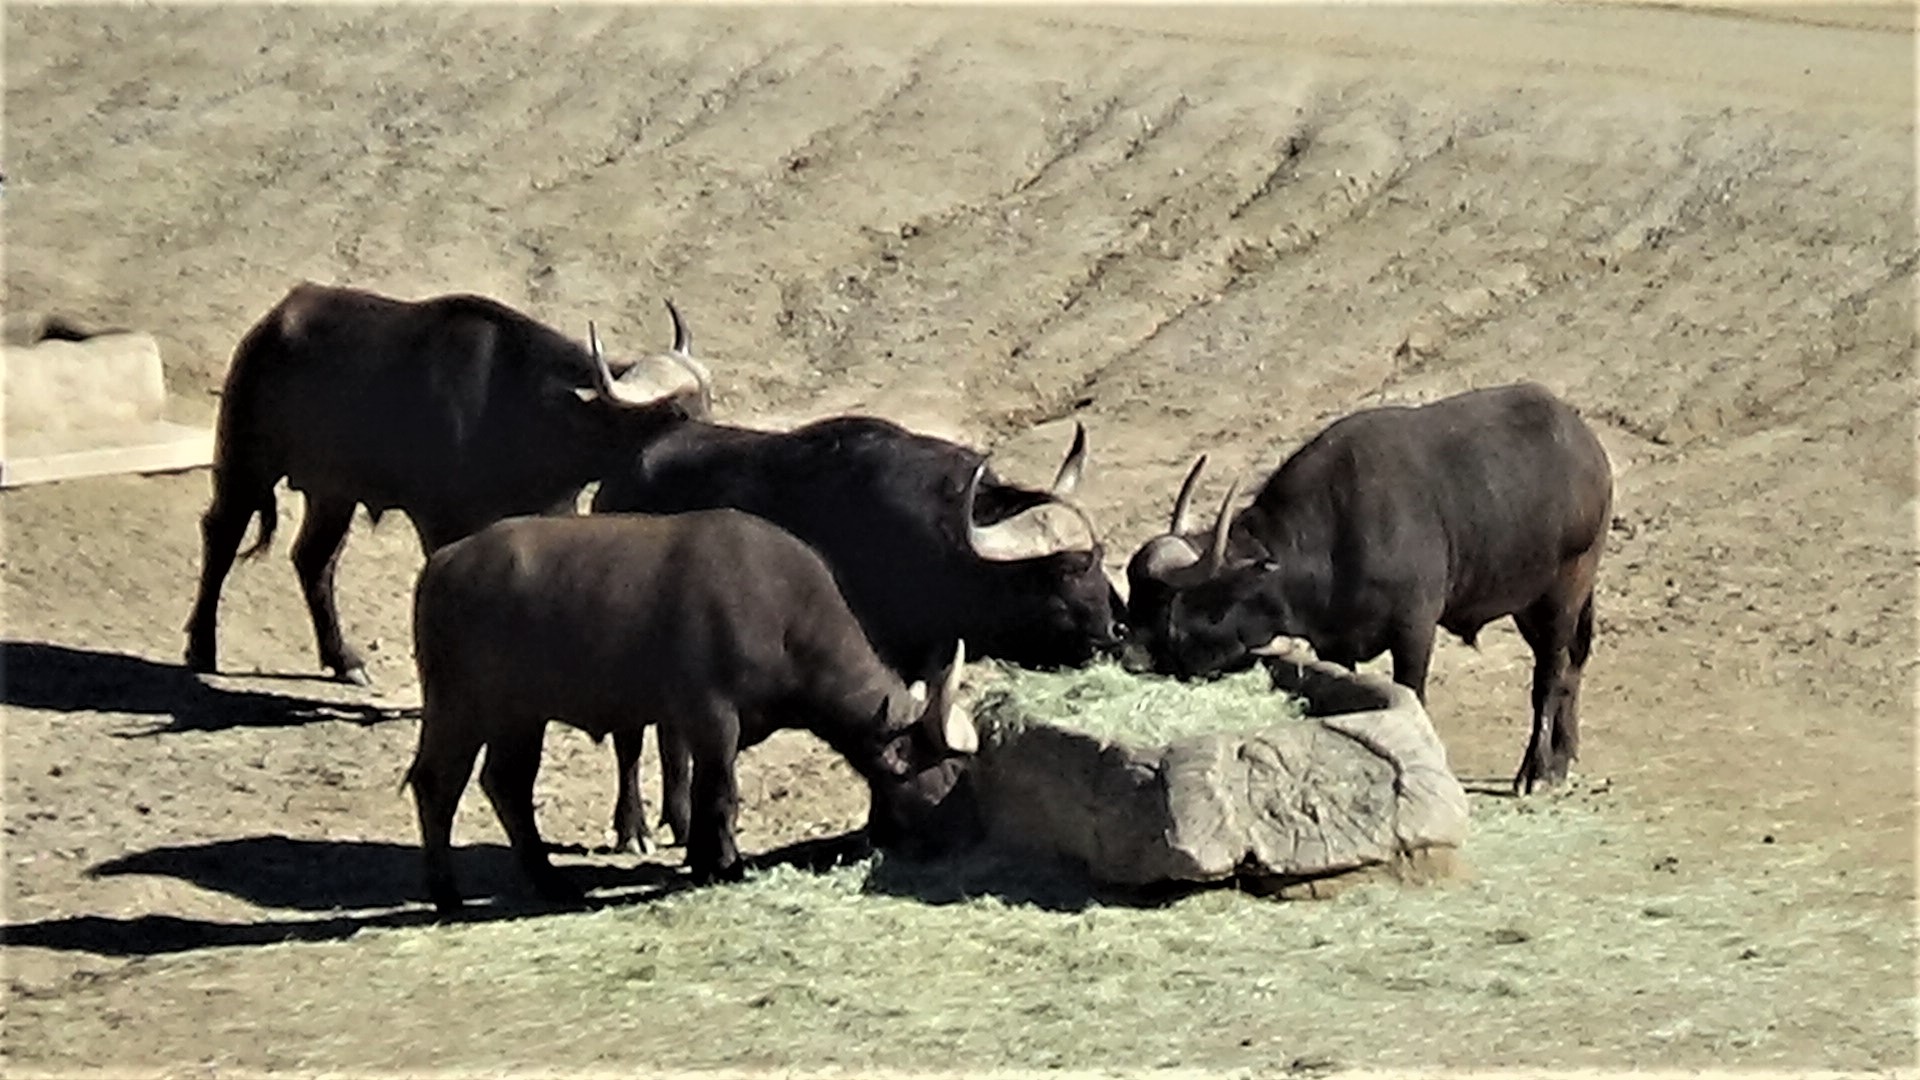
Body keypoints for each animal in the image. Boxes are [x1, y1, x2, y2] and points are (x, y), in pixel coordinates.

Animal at [183, 282, 710, 685]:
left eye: (707, 403)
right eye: (676, 414)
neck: (531, 410)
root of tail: (272, 325)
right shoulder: (439, 520)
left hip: (334, 491)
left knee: (313, 559)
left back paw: (344, 660)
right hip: (246, 464)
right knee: (222, 535)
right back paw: (202, 649)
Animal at [404, 510, 980, 910]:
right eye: (947, 770)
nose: (954, 831)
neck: (786, 619)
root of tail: (443, 564)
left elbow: (704, 791)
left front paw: (703, 859)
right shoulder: (712, 718)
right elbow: (721, 792)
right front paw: (724, 863)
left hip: (519, 716)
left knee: (507, 784)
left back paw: (549, 880)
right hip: (460, 703)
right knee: (437, 781)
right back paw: (447, 893)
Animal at [1122, 382, 1612, 795]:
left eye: (1174, 607)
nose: (1130, 657)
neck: (1331, 534)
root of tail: (1588, 448)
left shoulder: (1415, 629)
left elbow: (1414, 694)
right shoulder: (1333, 643)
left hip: (1564, 592)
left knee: (1550, 674)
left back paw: (1536, 771)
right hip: (1528, 602)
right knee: (1571, 667)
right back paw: (1562, 758)